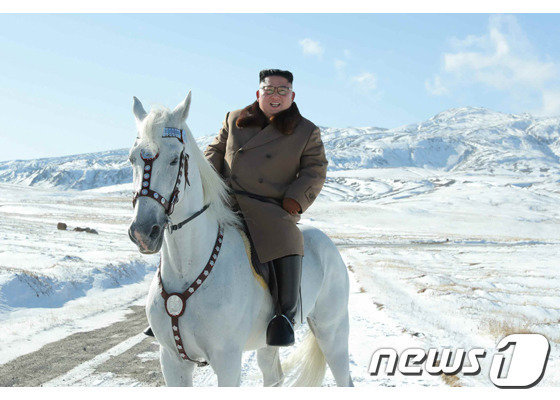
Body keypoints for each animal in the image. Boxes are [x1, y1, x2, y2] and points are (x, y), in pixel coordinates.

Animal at [129, 92, 352, 386]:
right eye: (132, 159)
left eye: (175, 159)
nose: (144, 232)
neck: (186, 267)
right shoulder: (172, 360)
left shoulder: (227, 360)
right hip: (270, 344)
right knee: (274, 377)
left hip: (332, 329)